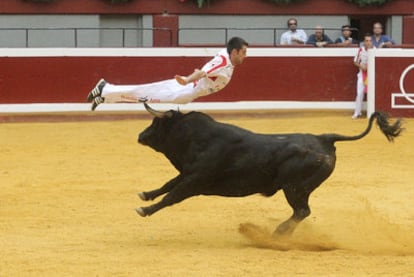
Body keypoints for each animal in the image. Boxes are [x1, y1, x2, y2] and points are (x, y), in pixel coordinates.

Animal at [137, 103, 402, 235]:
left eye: (156, 122)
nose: (140, 136)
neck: (197, 137)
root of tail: (324, 139)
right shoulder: (188, 173)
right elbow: (168, 184)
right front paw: (145, 195)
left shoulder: (195, 181)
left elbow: (172, 195)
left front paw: (145, 210)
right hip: (297, 189)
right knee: (302, 212)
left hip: (294, 188)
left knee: (302, 211)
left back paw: (278, 233)